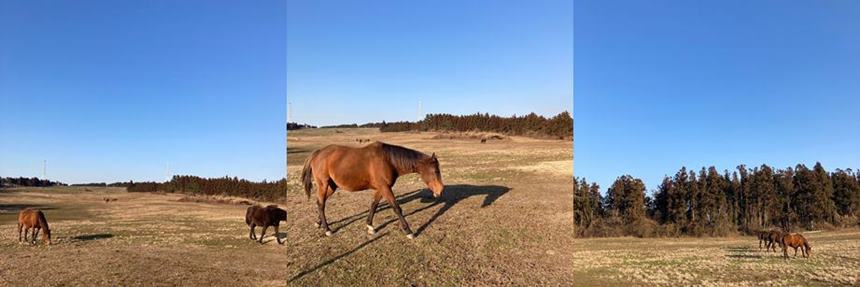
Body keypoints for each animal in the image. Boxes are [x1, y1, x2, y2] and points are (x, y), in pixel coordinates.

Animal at [300, 141, 444, 238]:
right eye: (436, 171)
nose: (440, 191)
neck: (388, 160)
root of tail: (317, 153)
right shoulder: (385, 188)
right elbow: (396, 208)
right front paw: (408, 231)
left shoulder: (381, 188)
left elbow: (374, 205)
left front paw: (370, 226)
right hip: (323, 185)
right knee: (321, 204)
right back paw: (327, 229)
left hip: (331, 187)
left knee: (320, 202)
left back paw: (319, 223)